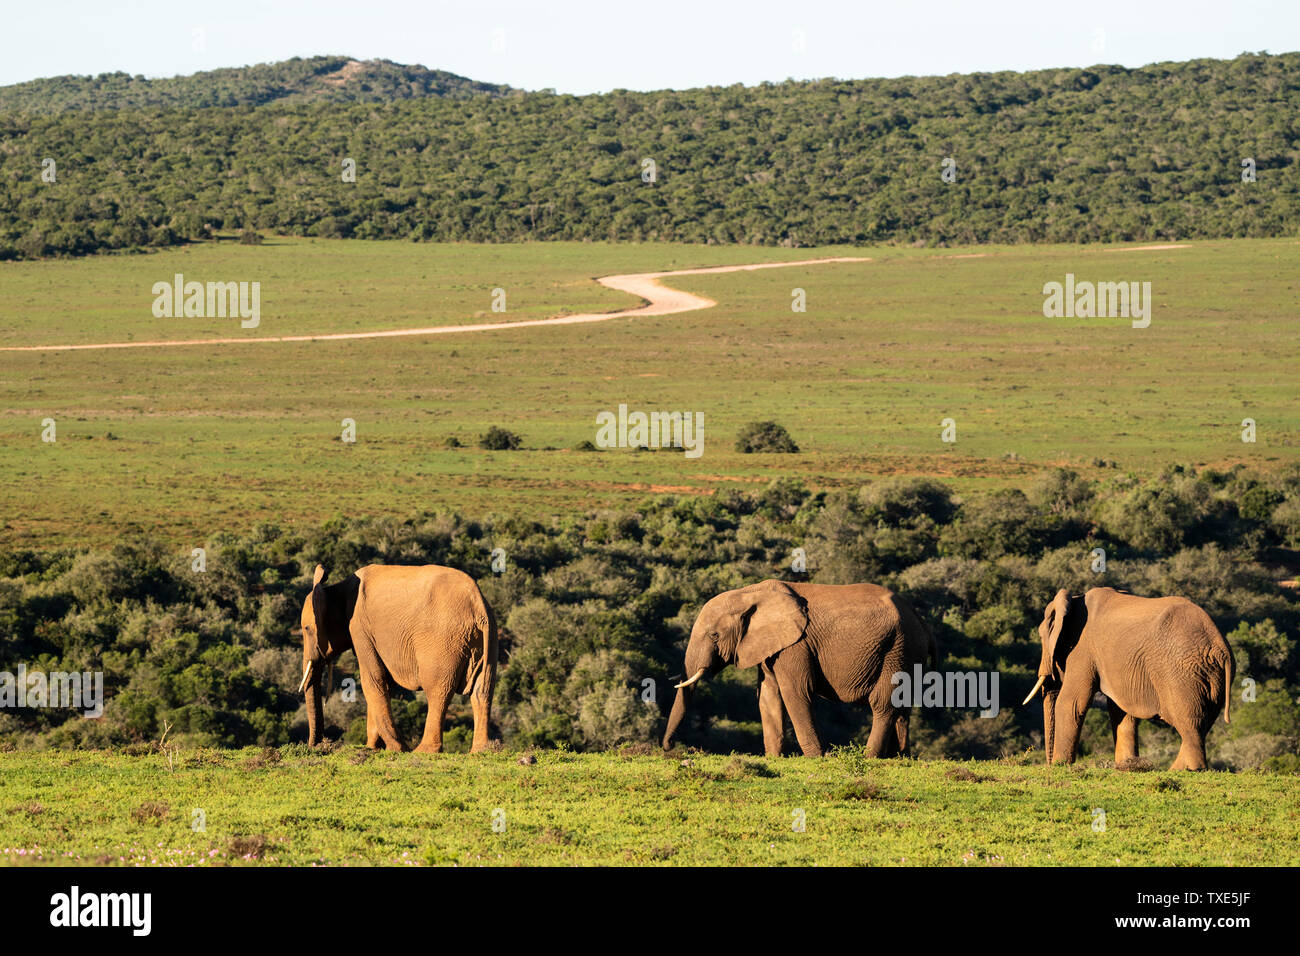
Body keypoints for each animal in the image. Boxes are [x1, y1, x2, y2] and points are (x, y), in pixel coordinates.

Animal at [297, 561, 496, 754]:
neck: (336, 589)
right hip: (486, 638)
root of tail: (478, 605)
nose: (316, 746)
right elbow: (384, 682)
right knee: (482, 691)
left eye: (306, 629)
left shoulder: (360, 629)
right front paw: (373, 748)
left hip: (444, 641)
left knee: (438, 691)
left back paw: (423, 751)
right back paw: (480, 751)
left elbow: (373, 680)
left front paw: (395, 749)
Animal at [660, 580, 935, 759]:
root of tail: (919, 619)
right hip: (906, 652)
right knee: (901, 705)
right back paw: (900, 759)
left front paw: (817, 758)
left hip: (898, 647)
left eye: (714, 635)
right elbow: (767, 695)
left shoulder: (796, 645)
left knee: (883, 703)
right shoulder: (771, 647)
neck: (749, 594)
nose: (668, 747)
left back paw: (870, 757)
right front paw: (774, 759)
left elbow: (795, 692)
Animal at [1019, 587, 1232, 775]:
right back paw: (1177, 769)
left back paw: (1189, 770)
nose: (1048, 764)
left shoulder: (1083, 649)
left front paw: (1060, 766)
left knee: (1188, 723)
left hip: (1180, 673)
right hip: (1209, 677)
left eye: (1041, 636)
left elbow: (1072, 702)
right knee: (1202, 724)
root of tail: (1220, 648)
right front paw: (1126, 766)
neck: (1074, 600)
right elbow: (1121, 711)